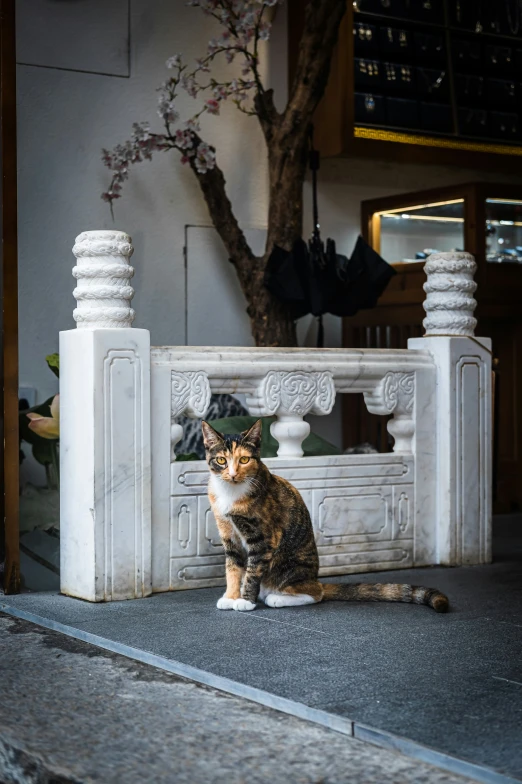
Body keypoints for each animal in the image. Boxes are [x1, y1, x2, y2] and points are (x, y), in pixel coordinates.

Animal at [200, 420, 446, 616]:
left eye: (244, 460)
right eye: (221, 460)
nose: (233, 474)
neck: (231, 493)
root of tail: (314, 578)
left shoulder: (262, 538)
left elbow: (251, 571)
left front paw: (245, 601)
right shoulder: (228, 533)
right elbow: (233, 568)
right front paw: (231, 597)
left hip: (288, 567)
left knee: (314, 594)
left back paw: (277, 597)